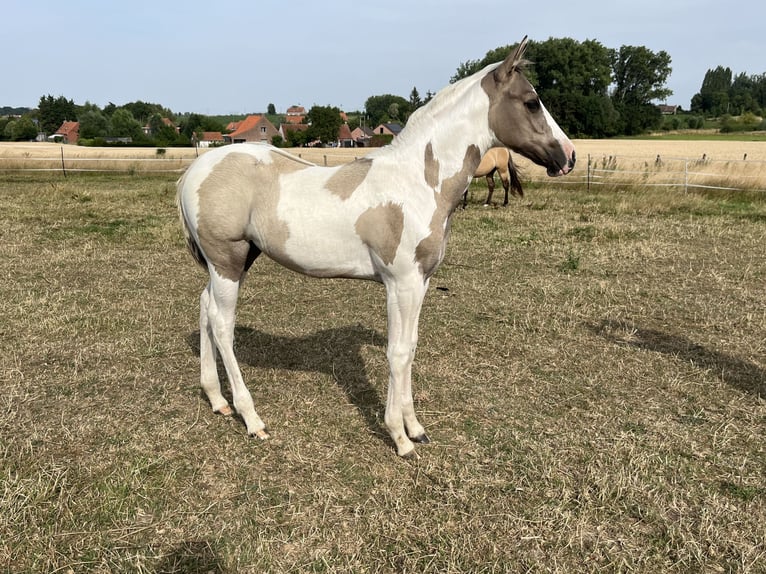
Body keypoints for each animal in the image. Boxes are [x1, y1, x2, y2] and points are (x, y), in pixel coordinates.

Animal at [177, 36, 575, 458]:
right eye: (531, 101)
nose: (569, 156)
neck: (418, 181)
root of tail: (195, 169)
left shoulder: (421, 282)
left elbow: (411, 347)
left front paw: (416, 427)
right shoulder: (400, 282)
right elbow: (397, 353)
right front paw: (400, 437)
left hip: (234, 262)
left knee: (205, 309)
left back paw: (217, 400)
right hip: (227, 261)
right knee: (223, 325)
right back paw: (251, 418)